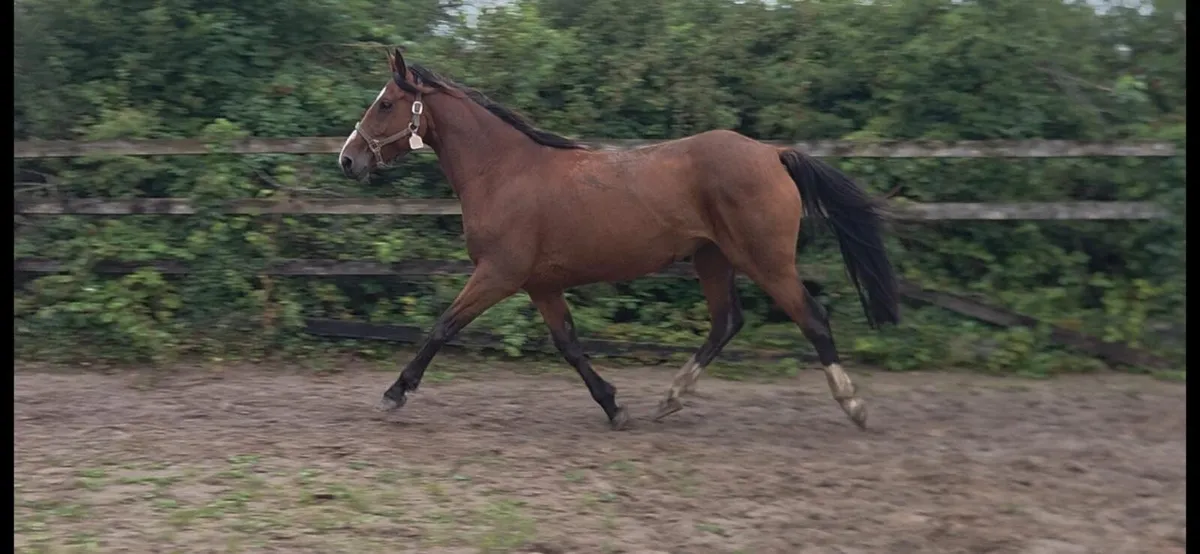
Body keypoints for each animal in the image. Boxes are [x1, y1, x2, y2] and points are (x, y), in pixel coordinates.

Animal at [338, 49, 899, 431]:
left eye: (386, 103)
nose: (348, 159)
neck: (503, 171)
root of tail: (772, 153)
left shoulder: (499, 274)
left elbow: (442, 327)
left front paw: (394, 392)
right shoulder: (540, 284)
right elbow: (569, 344)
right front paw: (613, 405)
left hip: (766, 260)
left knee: (812, 318)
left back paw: (854, 405)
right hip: (712, 259)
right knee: (726, 322)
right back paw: (670, 399)